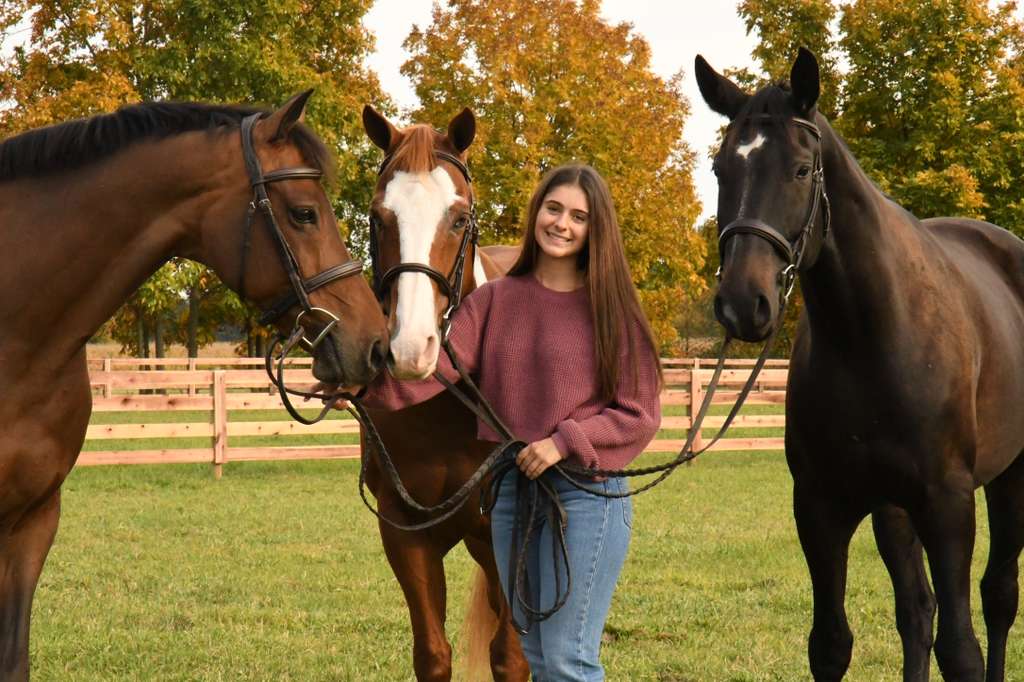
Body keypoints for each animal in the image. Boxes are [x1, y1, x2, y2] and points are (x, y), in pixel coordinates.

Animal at [359, 105, 529, 681]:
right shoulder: (404, 530)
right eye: (378, 217)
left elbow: (511, 658)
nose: (411, 347)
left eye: (457, 218)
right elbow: (432, 655)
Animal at [696, 48, 1024, 681]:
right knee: (917, 613)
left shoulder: (948, 505)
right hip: (892, 508)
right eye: (722, 170)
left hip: (1012, 478)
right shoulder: (821, 507)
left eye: (801, 171)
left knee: (998, 597)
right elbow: (831, 644)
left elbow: (961, 650)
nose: (742, 303)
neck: (873, 336)